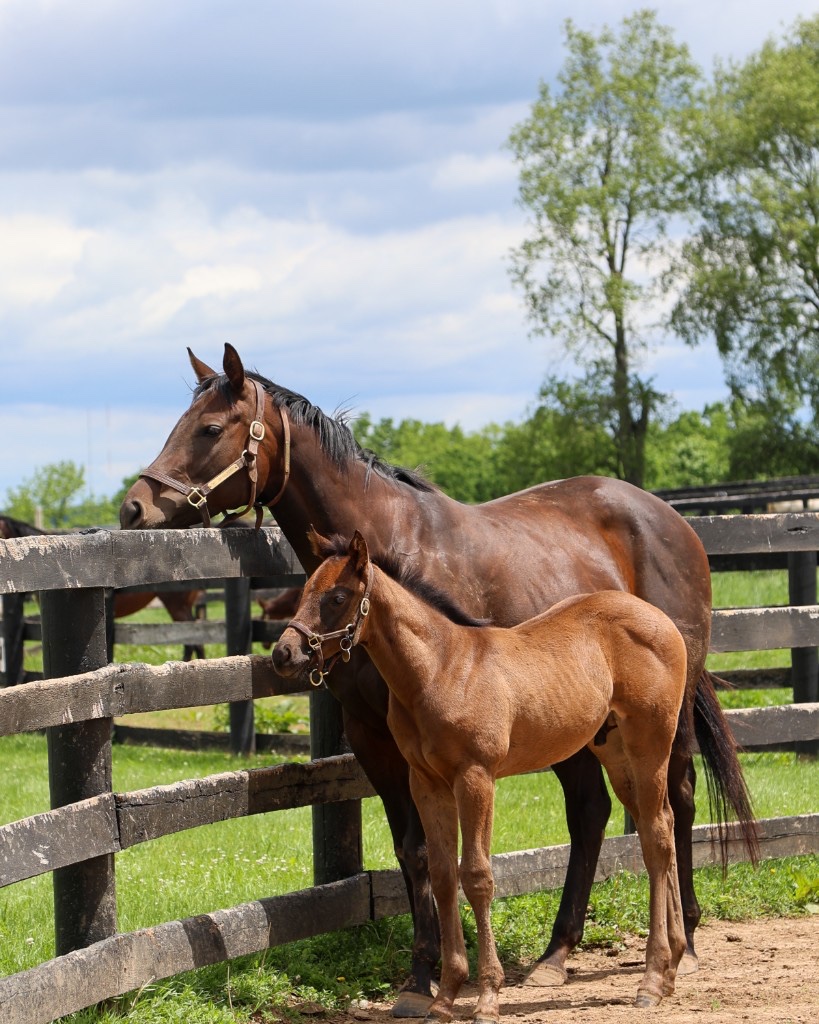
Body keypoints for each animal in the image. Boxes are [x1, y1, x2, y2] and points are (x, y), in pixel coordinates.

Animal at [273, 529, 688, 1020]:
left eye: (336, 597)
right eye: (303, 592)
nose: (283, 654)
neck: (440, 669)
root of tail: (659, 617)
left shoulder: (475, 777)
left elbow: (476, 875)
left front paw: (488, 995)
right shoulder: (426, 783)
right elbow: (442, 874)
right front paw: (445, 996)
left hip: (650, 743)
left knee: (658, 836)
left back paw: (652, 977)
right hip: (616, 751)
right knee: (658, 826)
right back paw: (673, 962)